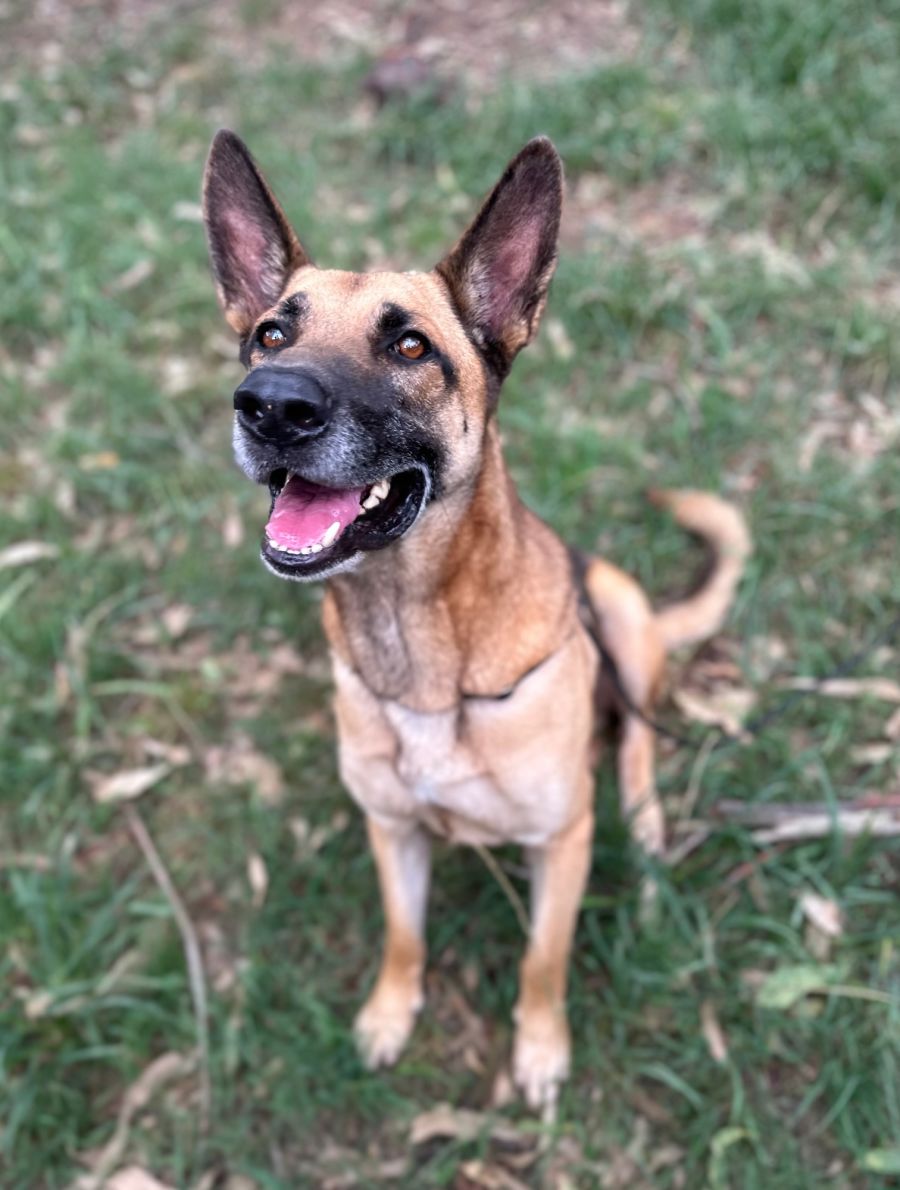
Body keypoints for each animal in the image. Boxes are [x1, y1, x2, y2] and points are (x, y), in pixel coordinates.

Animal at [202, 130, 751, 1108]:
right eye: (272, 333)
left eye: (411, 344)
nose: (270, 405)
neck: (423, 647)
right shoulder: (393, 832)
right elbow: (403, 934)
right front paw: (391, 1013)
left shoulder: (560, 844)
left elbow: (542, 959)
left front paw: (540, 1049)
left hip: (616, 605)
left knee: (639, 754)